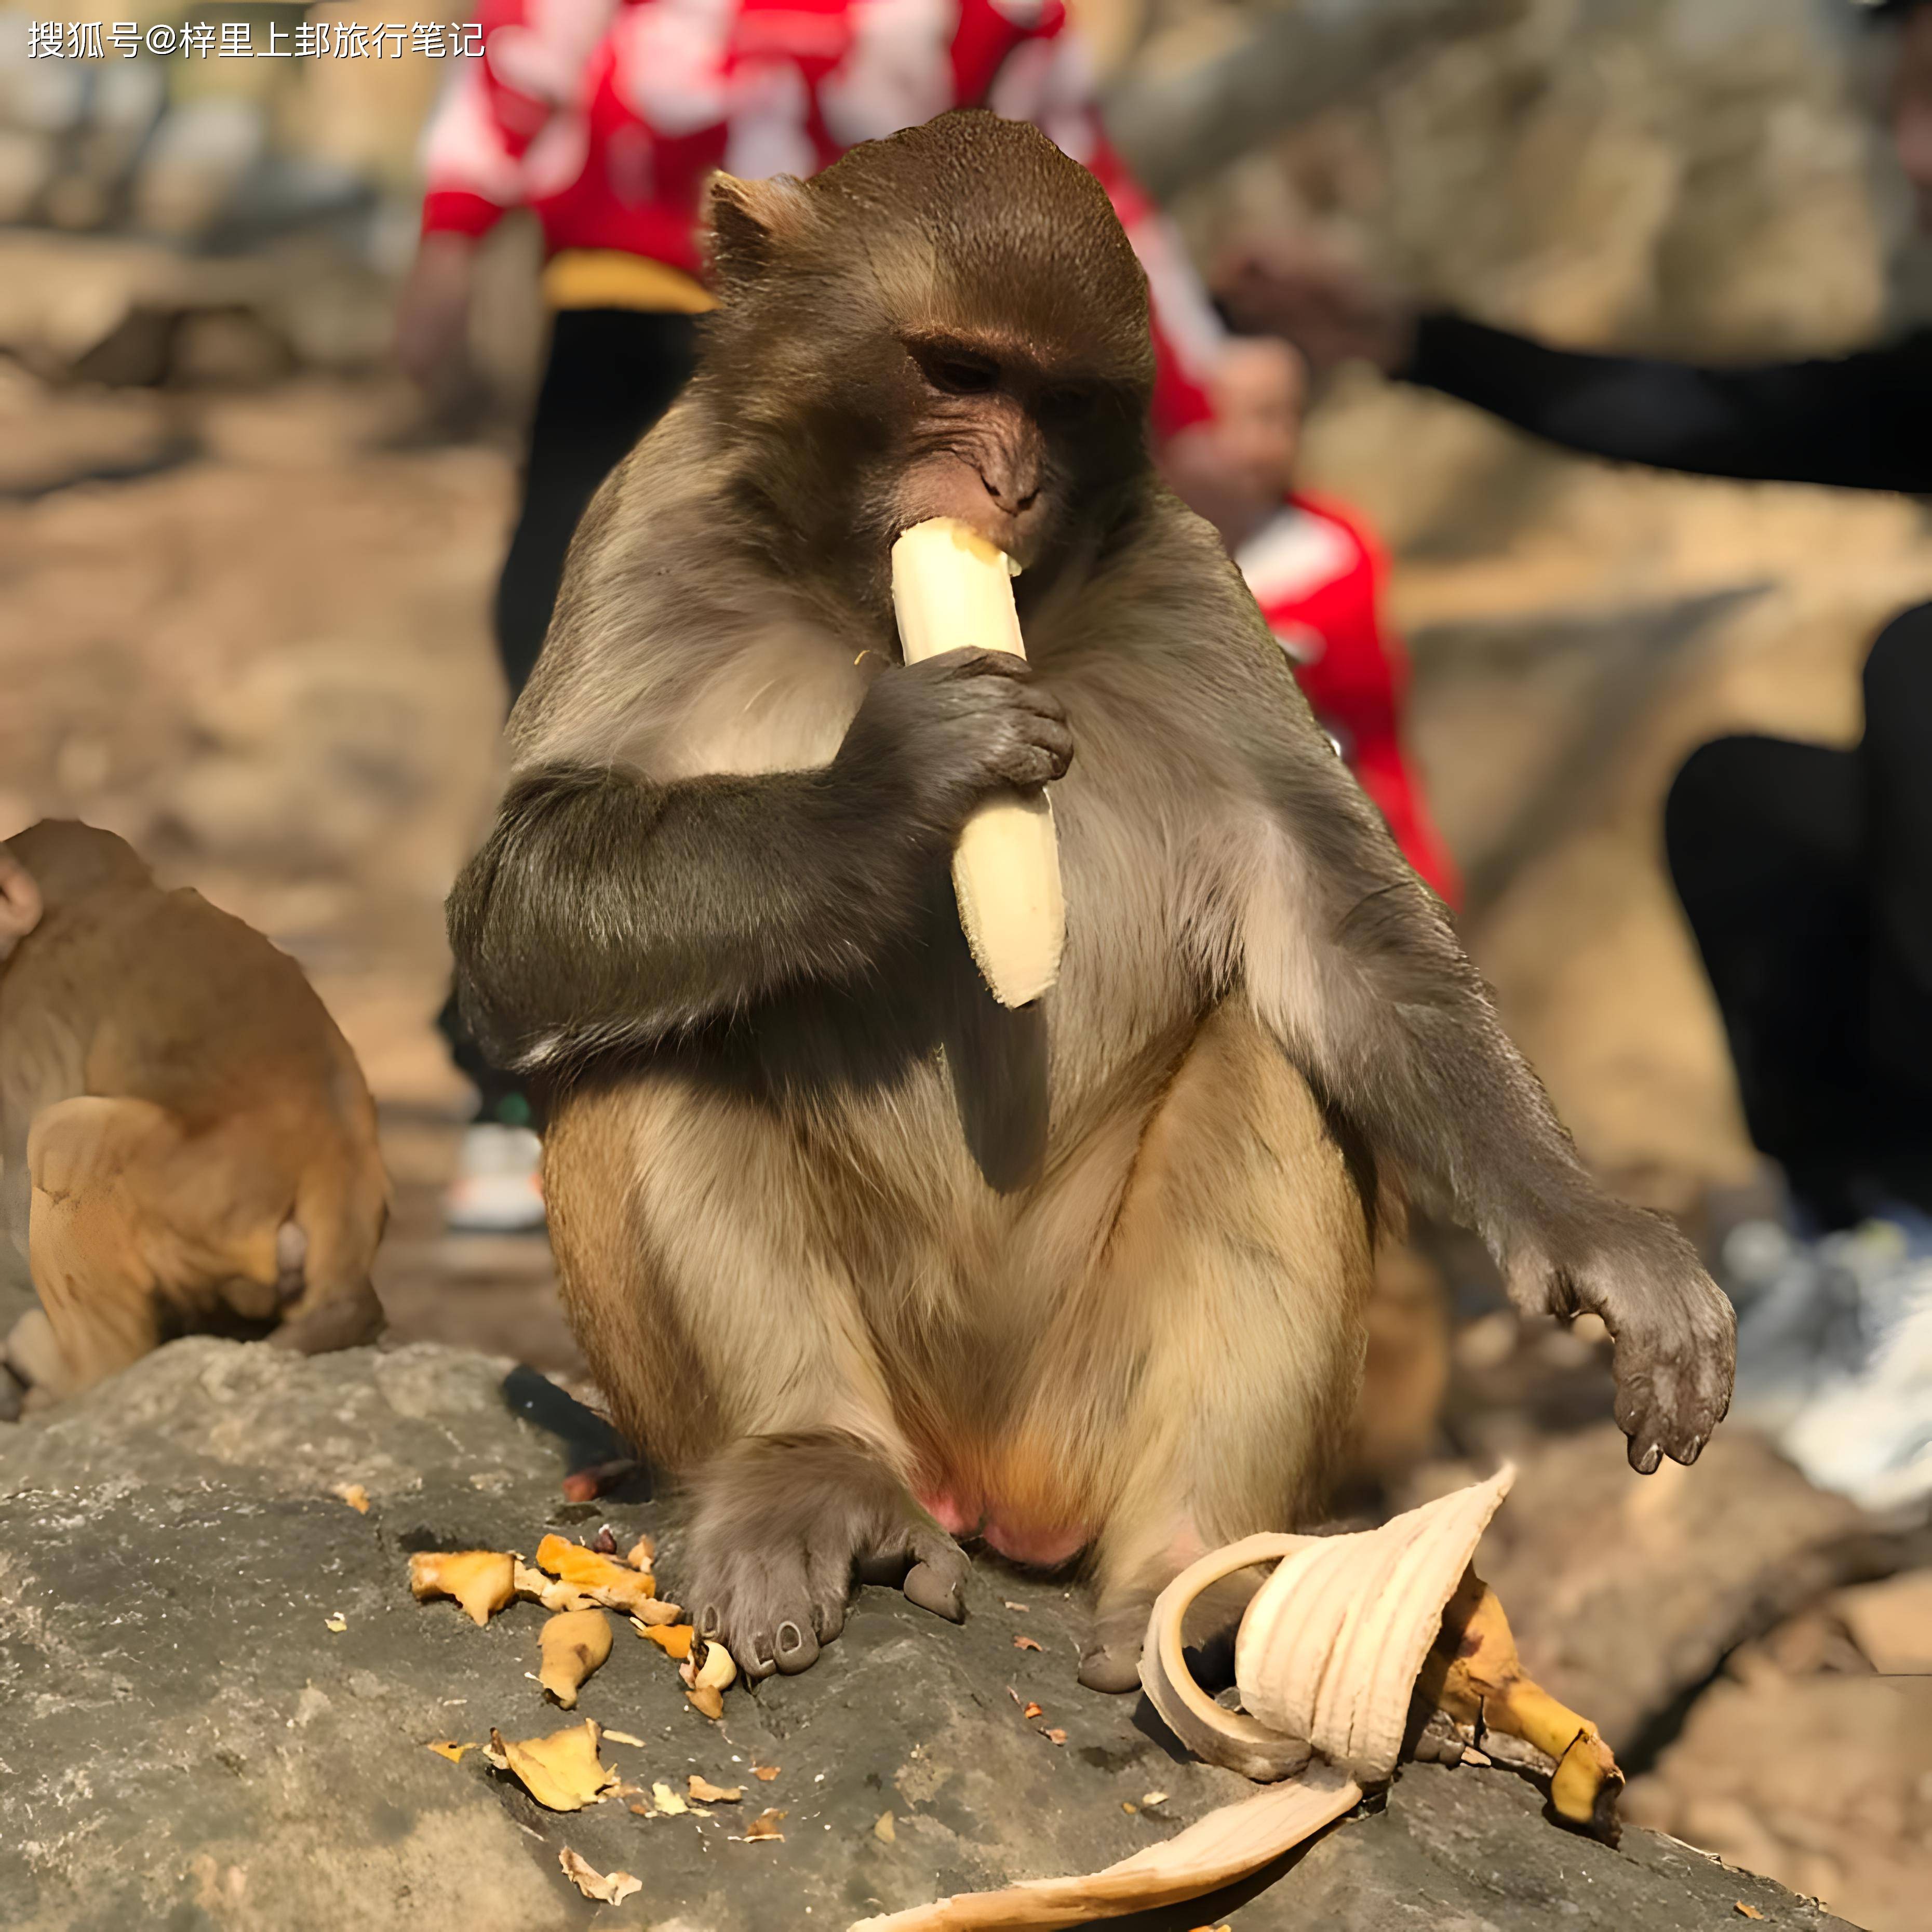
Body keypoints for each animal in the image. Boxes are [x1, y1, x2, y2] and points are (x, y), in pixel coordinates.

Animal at [448, 113, 1739, 1700]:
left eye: (1058, 399)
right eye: (956, 372)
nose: (1006, 489)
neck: (865, 606)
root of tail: (978, 1481)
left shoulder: (1188, 584)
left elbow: (1330, 925)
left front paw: (1595, 1235)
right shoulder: (650, 521)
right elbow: (516, 911)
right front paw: (896, 779)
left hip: (1077, 1412)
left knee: (1270, 1058)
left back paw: (1195, 1570)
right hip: (889, 1395)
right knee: (642, 1022)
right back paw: (806, 1470)